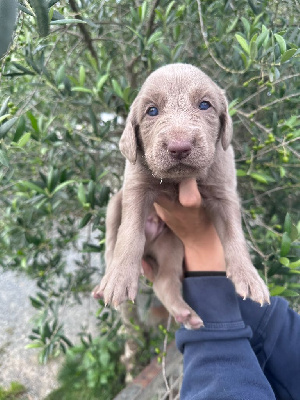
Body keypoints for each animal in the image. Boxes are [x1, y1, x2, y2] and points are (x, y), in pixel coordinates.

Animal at [92, 64, 270, 330]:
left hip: (172, 245)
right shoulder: (135, 186)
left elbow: (235, 236)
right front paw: (120, 277)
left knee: (164, 280)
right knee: (112, 243)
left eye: (205, 105)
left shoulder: (224, 192)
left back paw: (185, 314)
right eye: (151, 111)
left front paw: (249, 277)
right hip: (115, 204)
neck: (178, 181)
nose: (179, 146)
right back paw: (107, 281)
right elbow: (129, 232)